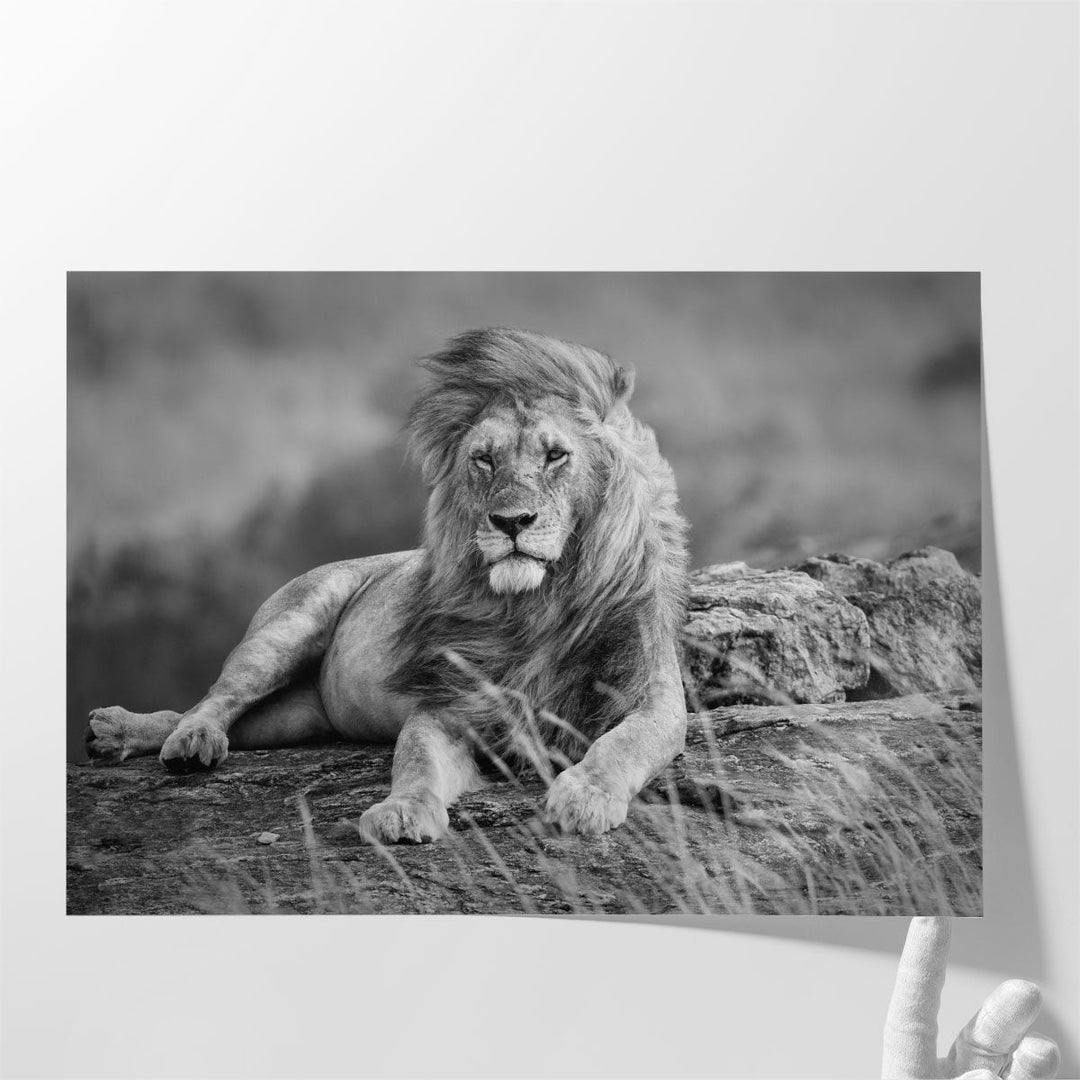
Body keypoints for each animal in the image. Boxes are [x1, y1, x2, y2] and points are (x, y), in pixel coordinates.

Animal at [85, 328, 690, 841]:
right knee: (214, 699)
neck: (535, 605)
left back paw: (121, 734)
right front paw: (401, 812)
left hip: (296, 718)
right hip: (286, 628)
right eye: (484, 460)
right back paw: (175, 739)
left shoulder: (653, 696)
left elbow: (622, 744)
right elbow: (415, 760)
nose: (511, 522)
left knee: (215, 715)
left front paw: (586, 796)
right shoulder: (448, 704)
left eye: (556, 454)